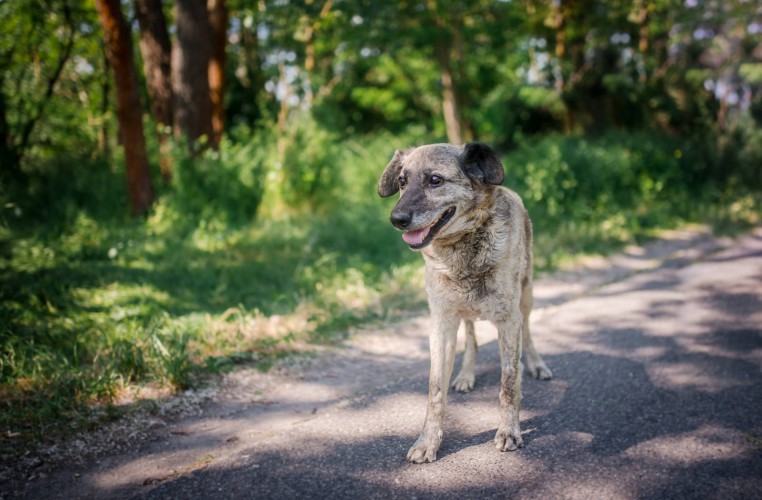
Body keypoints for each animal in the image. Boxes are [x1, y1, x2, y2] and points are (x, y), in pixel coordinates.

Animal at [376, 143, 548, 462]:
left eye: (435, 180)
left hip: (526, 296)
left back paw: (536, 364)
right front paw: (428, 441)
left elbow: (508, 382)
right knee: (470, 337)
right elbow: (435, 389)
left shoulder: (508, 320)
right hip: (463, 312)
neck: (461, 248)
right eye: (402, 181)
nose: (397, 219)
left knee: (528, 332)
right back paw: (467, 374)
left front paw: (509, 431)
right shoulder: (442, 322)